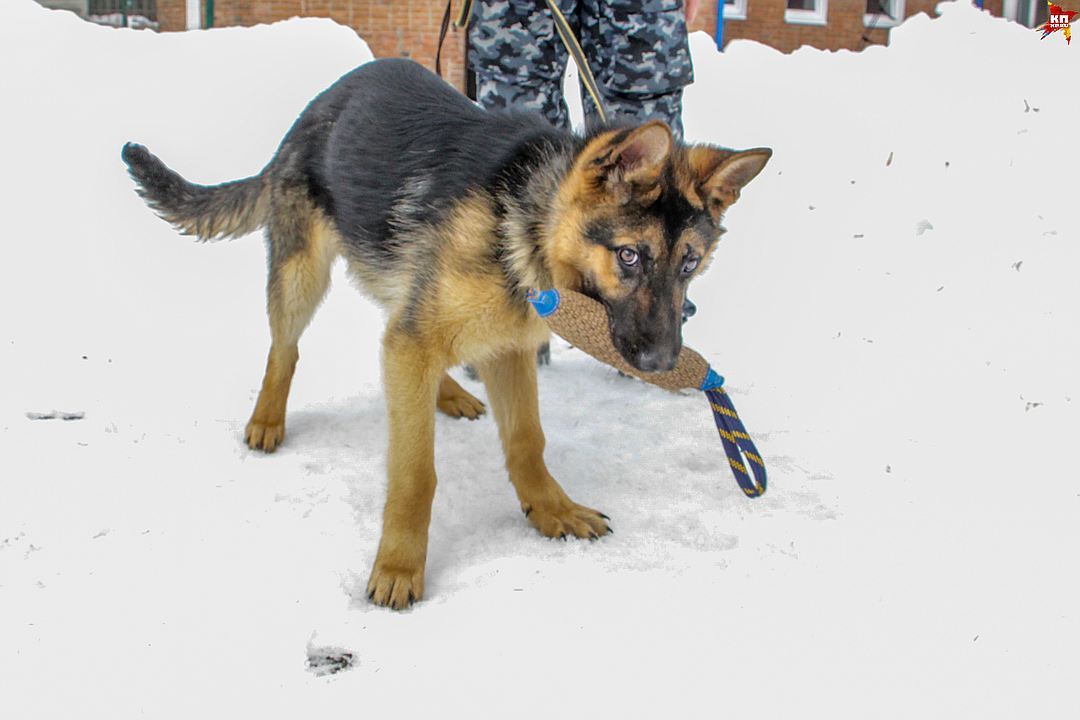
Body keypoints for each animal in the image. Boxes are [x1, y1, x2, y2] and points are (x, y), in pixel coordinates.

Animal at [122, 57, 773, 608]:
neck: (525, 225)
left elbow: (527, 440)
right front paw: (399, 567)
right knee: (286, 349)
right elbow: (416, 473)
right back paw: (268, 418)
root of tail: (318, 105)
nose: (663, 364)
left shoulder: (508, 348)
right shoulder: (426, 341)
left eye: (689, 265)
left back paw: (449, 392)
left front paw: (550, 509)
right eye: (630, 256)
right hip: (304, 275)